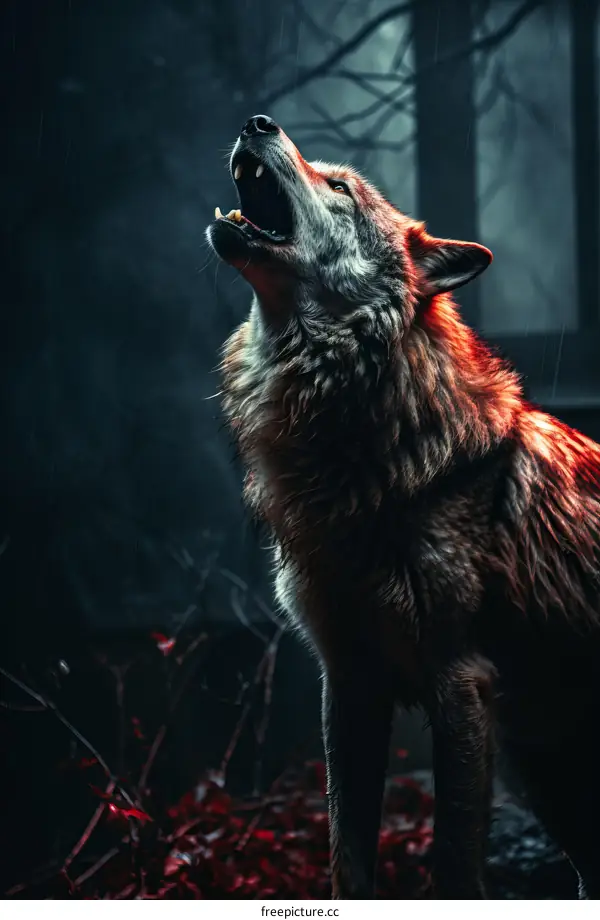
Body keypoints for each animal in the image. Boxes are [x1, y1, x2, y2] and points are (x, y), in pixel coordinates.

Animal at [206, 114, 600, 899]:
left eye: (340, 187)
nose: (257, 122)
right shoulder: (347, 682)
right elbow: (346, 858)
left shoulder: (460, 684)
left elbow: (452, 865)